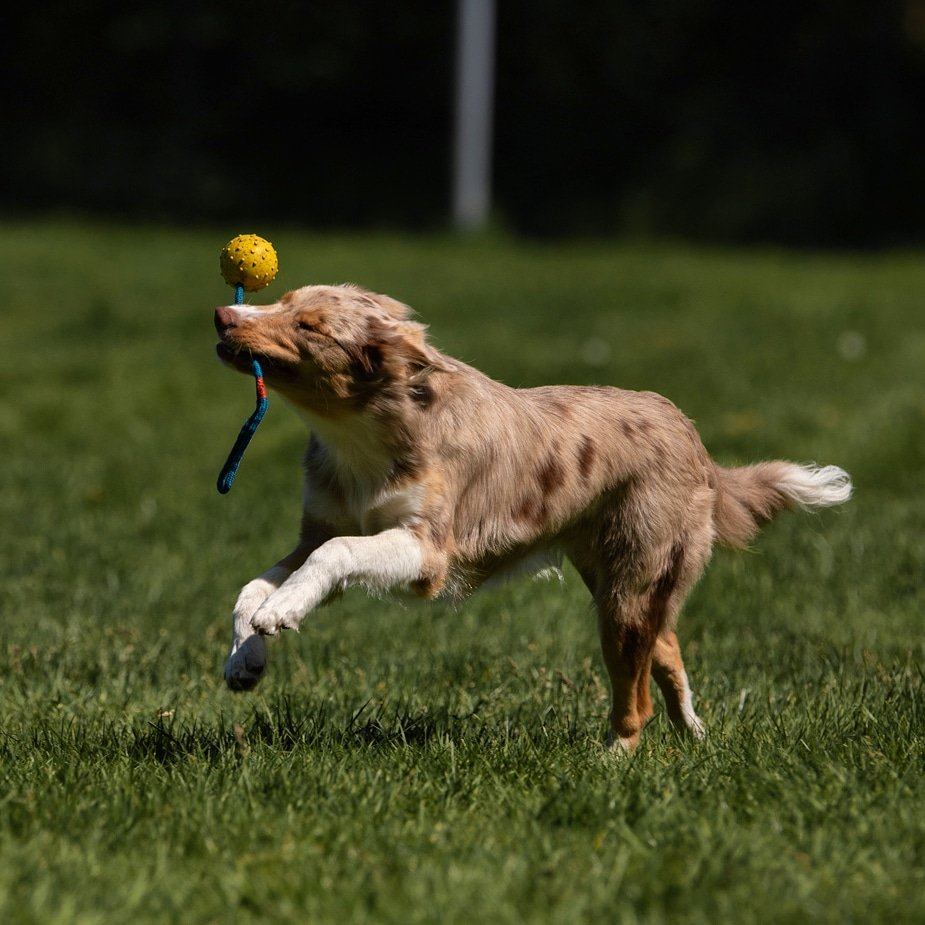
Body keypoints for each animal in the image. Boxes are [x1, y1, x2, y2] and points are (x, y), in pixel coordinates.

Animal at [214, 284, 852, 750]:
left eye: (310, 326)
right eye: (283, 299)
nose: (222, 314)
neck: (359, 434)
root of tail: (691, 432)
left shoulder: (427, 551)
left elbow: (334, 554)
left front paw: (282, 612)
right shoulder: (321, 527)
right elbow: (252, 587)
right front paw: (247, 656)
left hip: (625, 594)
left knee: (637, 696)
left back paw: (612, 761)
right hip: (622, 582)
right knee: (666, 650)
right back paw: (694, 735)